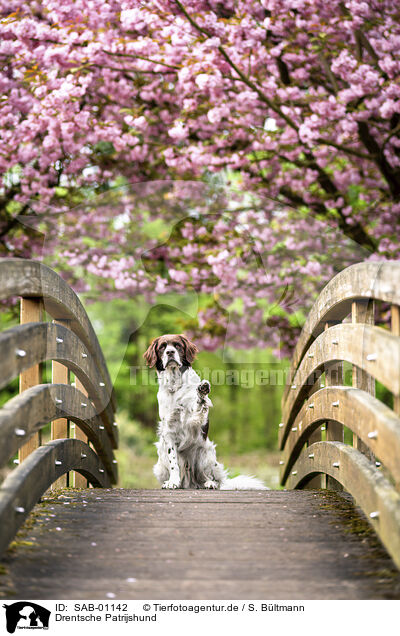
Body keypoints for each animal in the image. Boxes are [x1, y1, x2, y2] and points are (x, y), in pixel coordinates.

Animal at [142, 336, 268, 490]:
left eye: (177, 345)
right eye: (162, 347)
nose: (170, 352)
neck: (175, 384)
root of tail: (191, 483)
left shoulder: (194, 419)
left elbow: (198, 405)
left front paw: (201, 391)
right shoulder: (168, 430)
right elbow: (174, 463)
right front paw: (172, 482)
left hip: (205, 453)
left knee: (210, 478)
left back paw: (210, 483)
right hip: (160, 461)